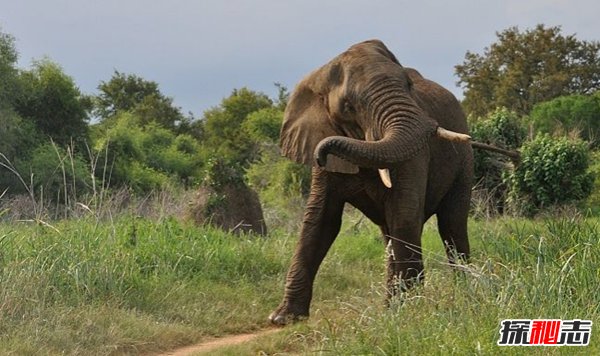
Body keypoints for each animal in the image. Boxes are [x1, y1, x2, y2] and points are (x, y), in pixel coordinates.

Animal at [268, 39, 482, 326]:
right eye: (348, 106)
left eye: (409, 86)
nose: (321, 153)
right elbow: (320, 220)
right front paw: (283, 318)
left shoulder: (416, 155)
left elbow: (404, 214)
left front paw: (410, 311)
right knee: (390, 233)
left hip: (465, 163)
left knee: (451, 224)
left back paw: (463, 294)